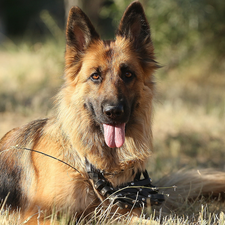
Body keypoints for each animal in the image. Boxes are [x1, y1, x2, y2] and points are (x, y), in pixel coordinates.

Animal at [1, 0, 225, 225]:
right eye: (95, 76)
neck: (91, 167)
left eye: (128, 74)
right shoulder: (39, 216)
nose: (114, 112)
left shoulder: (124, 215)